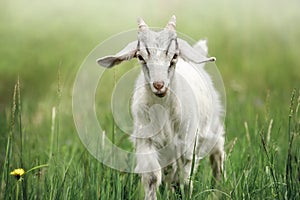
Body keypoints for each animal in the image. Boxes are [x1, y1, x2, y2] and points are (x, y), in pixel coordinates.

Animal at [96, 16, 225, 200]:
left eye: (174, 56)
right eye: (140, 57)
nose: (158, 85)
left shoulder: (186, 140)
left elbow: (185, 176)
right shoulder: (146, 139)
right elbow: (152, 177)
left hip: (211, 126)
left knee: (217, 150)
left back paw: (219, 188)